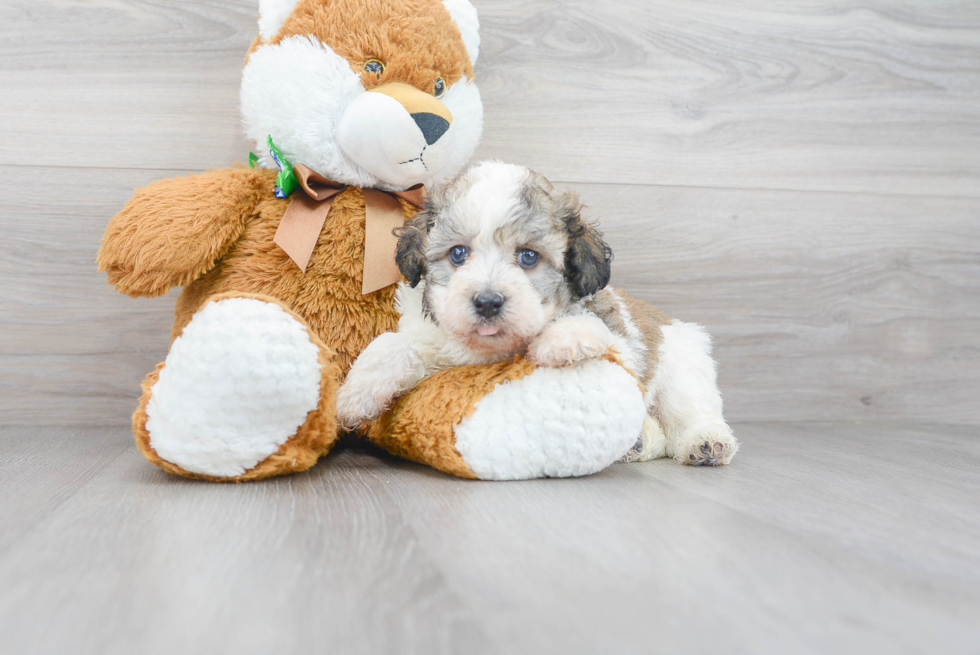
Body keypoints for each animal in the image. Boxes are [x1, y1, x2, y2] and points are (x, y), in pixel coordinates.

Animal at [334, 160, 736, 466]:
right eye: (458, 254)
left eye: (528, 257)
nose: (487, 302)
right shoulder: (435, 344)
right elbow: (392, 344)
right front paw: (356, 395)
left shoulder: (621, 343)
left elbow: (591, 326)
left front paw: (564, 338)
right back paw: (638, 443)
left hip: (683, 369)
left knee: (691, 411)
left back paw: (706, 442)